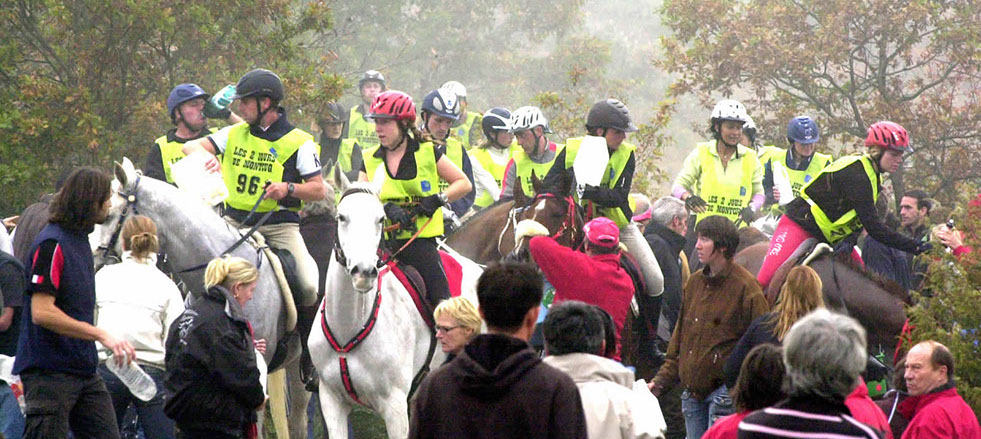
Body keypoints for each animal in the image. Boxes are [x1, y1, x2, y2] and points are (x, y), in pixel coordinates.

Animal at [310, 172, 482, 439]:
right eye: (342, 217)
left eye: (380, 218)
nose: (363, 272)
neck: (349, 330)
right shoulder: (332, 402)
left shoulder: (395, 408)